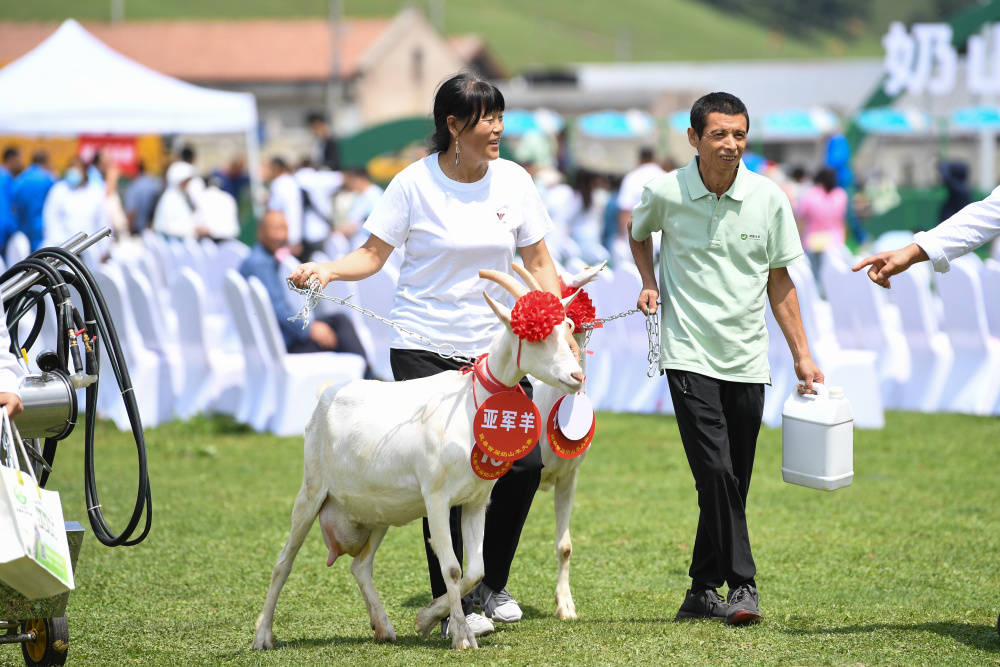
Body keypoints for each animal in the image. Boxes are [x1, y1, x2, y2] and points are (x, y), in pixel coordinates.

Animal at [252, 264, 584, 648]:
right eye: (534, 336)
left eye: (567, 329)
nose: (576, 376)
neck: (469, 402)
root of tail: (328, 392)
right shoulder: (437, 496)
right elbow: (451, 567)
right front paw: (462, 635)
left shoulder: (476, 499)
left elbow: (476, 569)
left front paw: (427, 618)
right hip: (312, 489)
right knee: (283, 561)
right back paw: (262, 635)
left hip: (378, 509)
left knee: (359, 566)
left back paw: (383, 626)